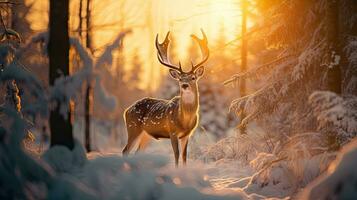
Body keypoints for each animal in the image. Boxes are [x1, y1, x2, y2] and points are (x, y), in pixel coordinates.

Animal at [121, 29, 209, 166]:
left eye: (193, 77)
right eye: (180, 79)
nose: (184, 85)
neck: (185, 120)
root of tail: (126, 110)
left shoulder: (187, 135)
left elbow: (184, 156)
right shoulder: (172, 131)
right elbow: (176, 155)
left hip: (146, 135)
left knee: (136, 152)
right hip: (133, 128)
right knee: (125, 151)